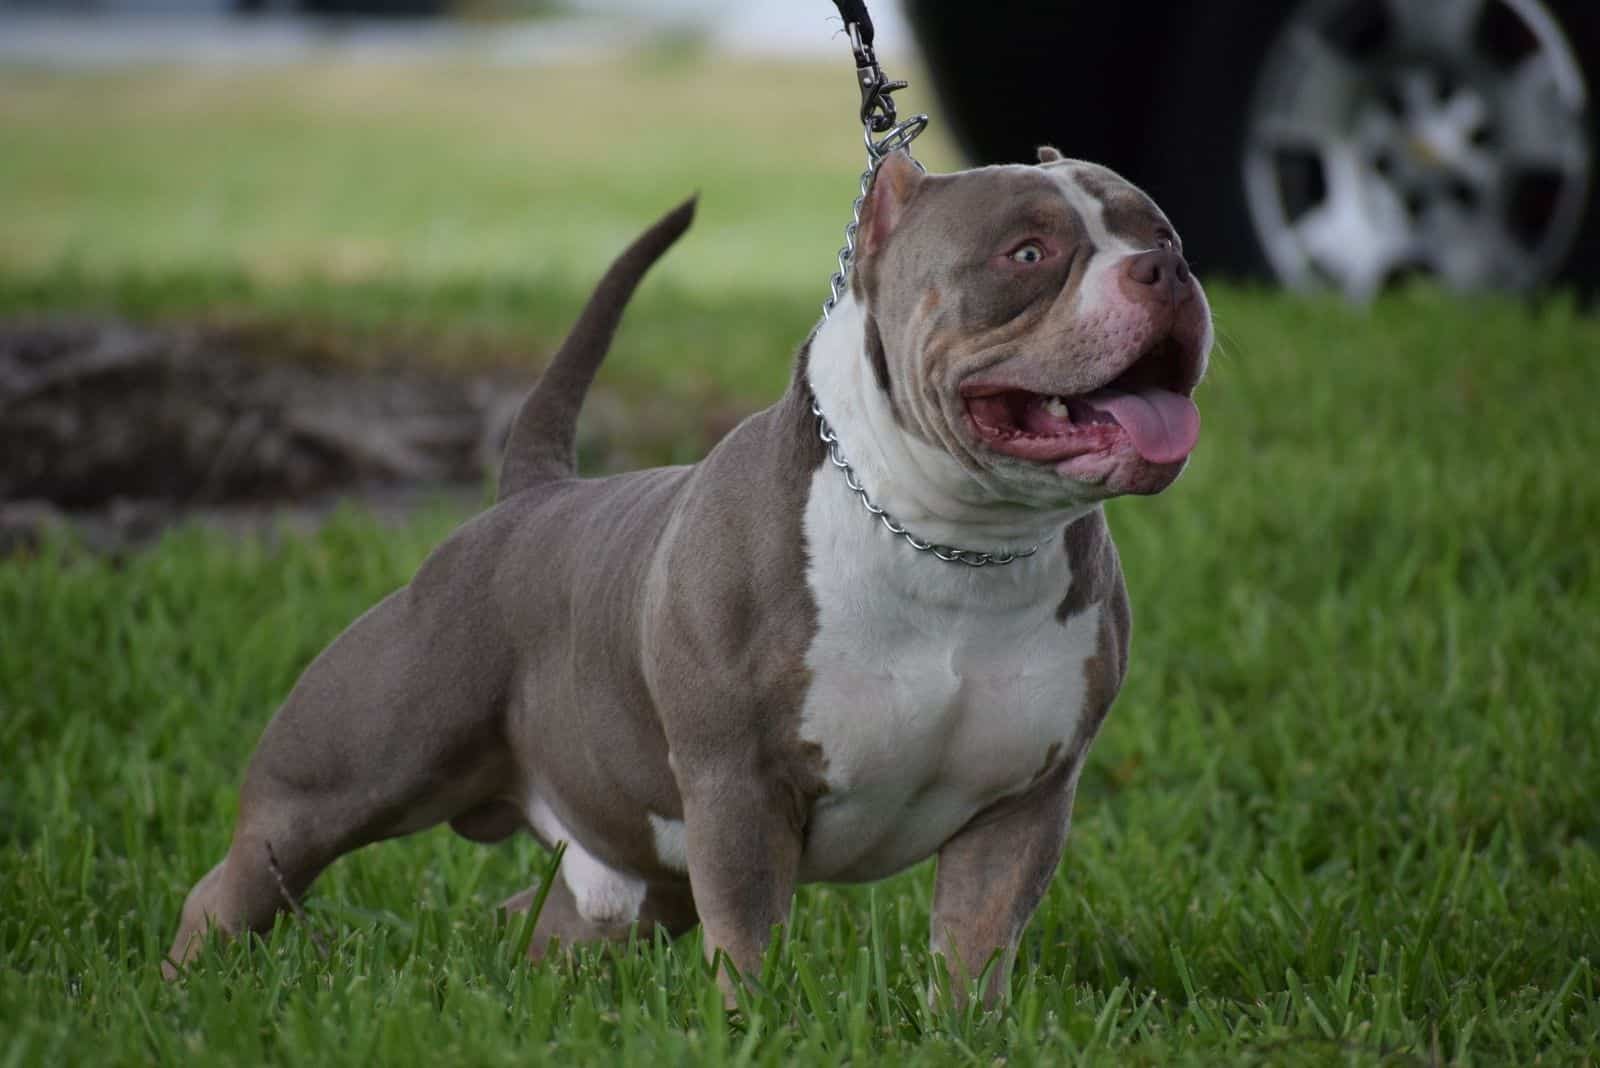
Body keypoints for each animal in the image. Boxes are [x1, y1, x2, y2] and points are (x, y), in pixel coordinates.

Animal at [165, 146, 1209, 1004]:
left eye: (1162, 232)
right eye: (1027, 254)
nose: (1168, 269)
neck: (953, 544)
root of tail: (528, 496)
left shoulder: (1024, 804)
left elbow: (974, 951)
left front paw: (965, 1035)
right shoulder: (737, 790)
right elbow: (748, 943)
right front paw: (757, 1029)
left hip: (634, 870)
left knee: (541, 925)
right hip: (348, 778)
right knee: (237, 880)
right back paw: (183, 986)